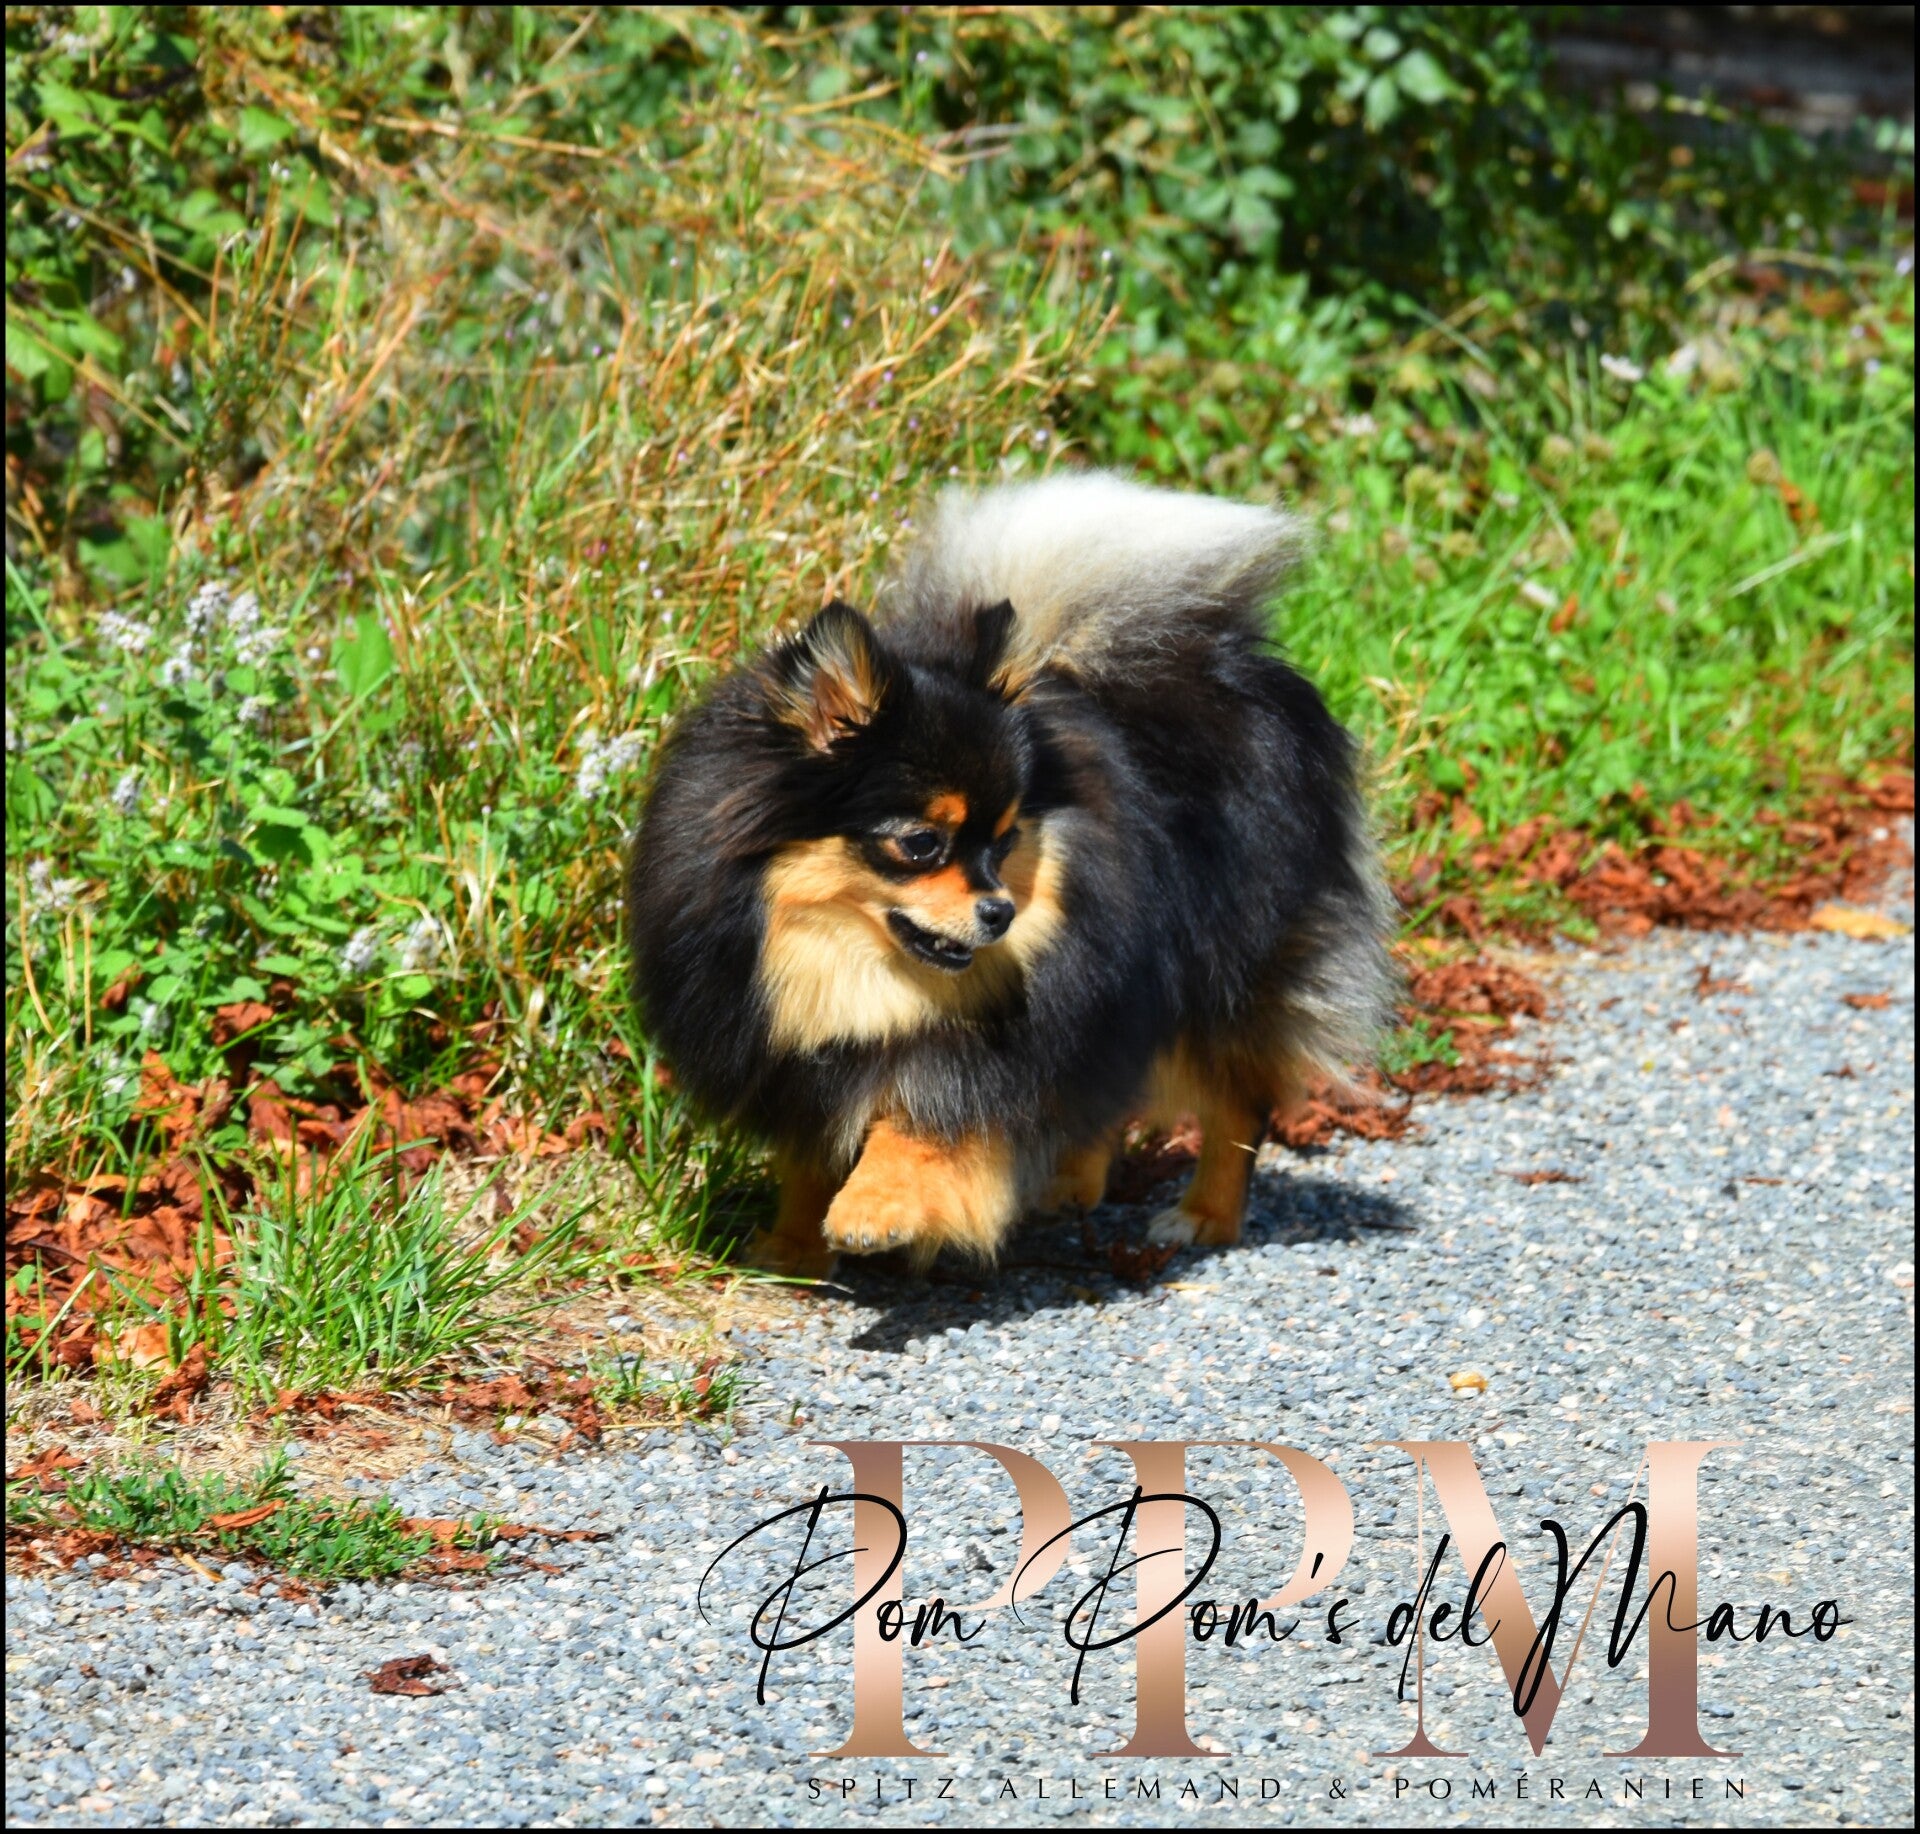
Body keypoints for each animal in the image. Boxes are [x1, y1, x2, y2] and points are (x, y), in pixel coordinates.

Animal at [626, 472, 1393, 1277]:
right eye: (922, 843)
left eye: (1005, 840)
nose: (1002, 912)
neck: (849, 969)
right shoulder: (797, 1058)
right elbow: (810, 1157)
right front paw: (793, 1249)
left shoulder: (980, 1050)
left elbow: (922, 1117)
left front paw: (872, 1208)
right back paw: (1072, 1183)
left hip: (1217, 972)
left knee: (1237, 1096)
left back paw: (1204, 1214)